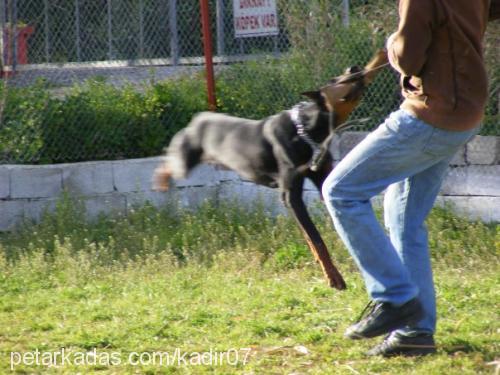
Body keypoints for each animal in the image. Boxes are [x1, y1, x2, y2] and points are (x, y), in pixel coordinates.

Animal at [154, 50, 388, 290]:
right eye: (334, 79)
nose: (353, 67)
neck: (309, 131)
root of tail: (198, 118)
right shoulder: (290, 196)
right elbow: (316, 239)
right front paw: (334, 277)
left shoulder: (323, 177)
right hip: (185, 160)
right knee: (168, 162)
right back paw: (161, 181)